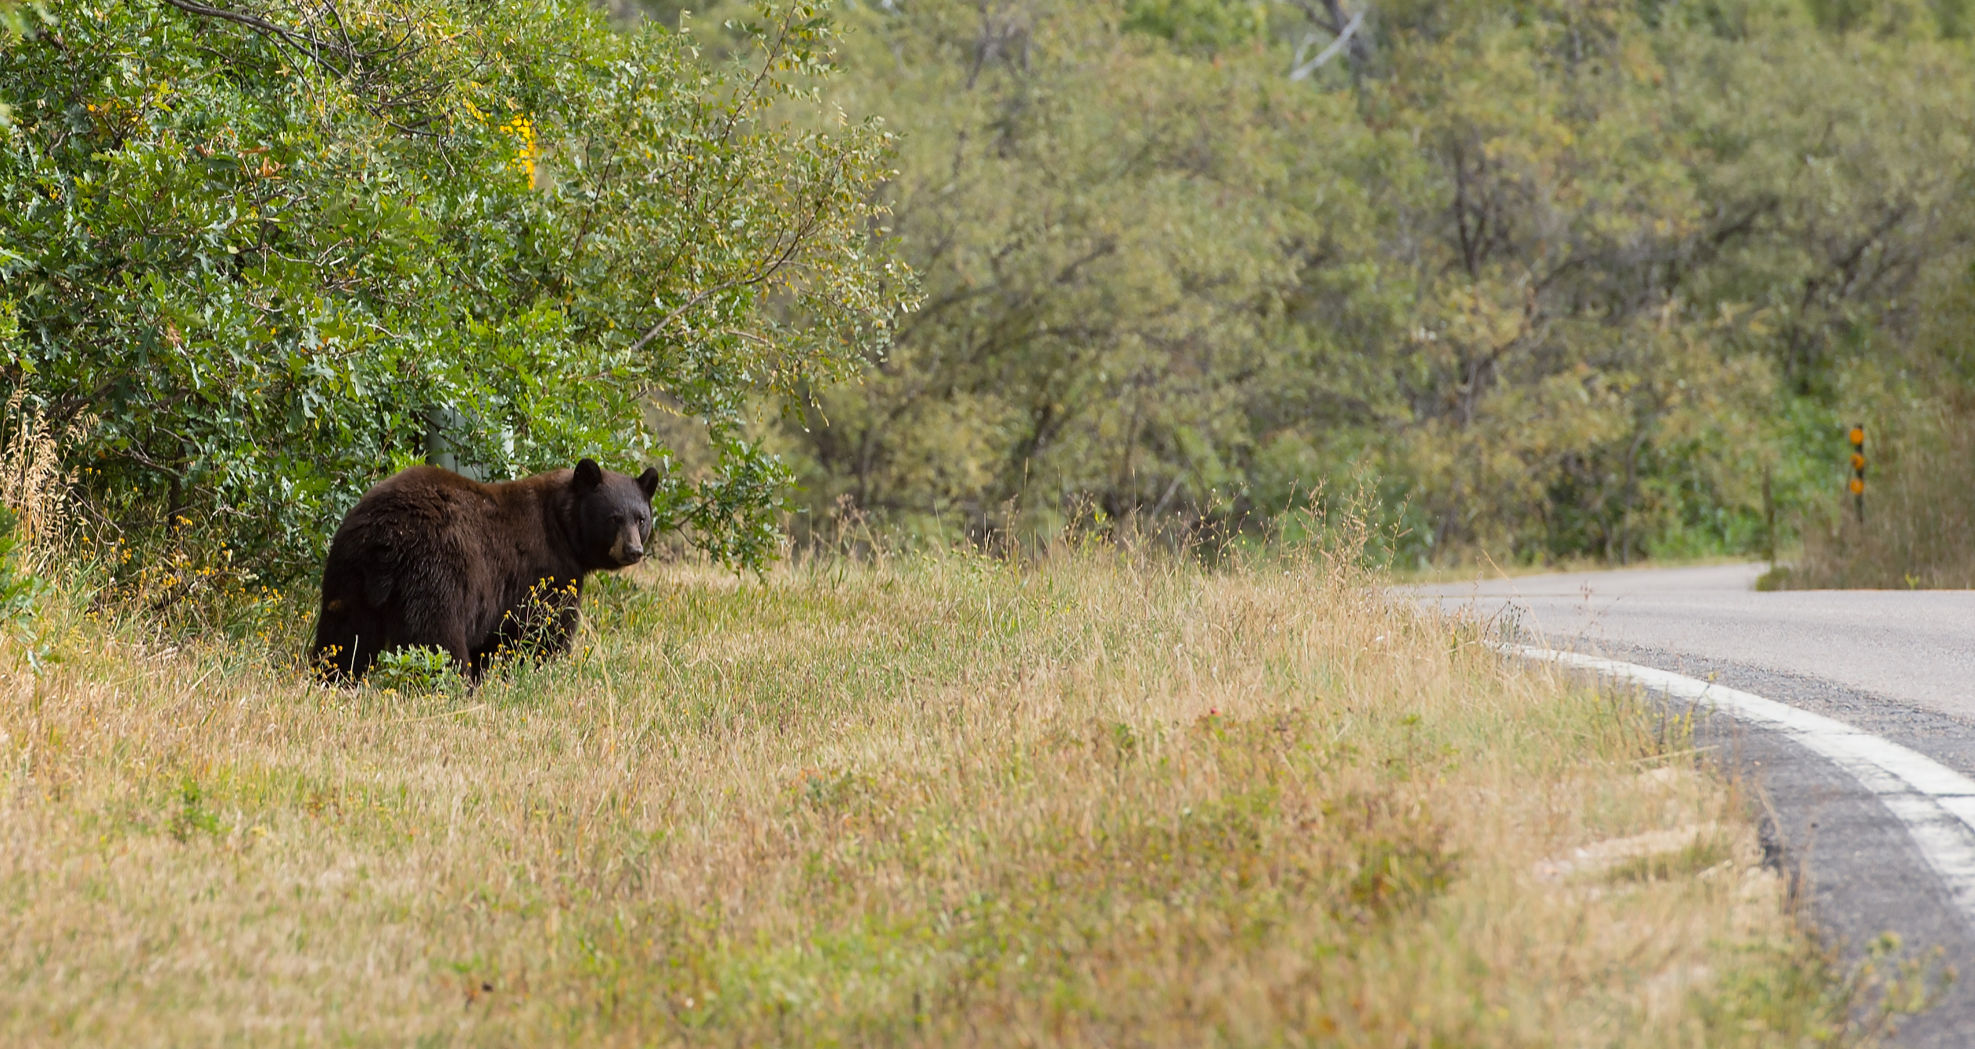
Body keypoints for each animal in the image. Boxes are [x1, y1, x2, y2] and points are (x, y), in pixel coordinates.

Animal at [310, 458, 660, 683]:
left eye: (641, 518)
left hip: (348, 575)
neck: (562, 525)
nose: (634, 551)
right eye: (614, 518)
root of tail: (385, 538)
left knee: (343, 636)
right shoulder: (547, 570)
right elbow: (546, 627)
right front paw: (540, 673)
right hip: (436, 573)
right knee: (437, 637)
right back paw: (452, 686)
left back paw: (332, 678)